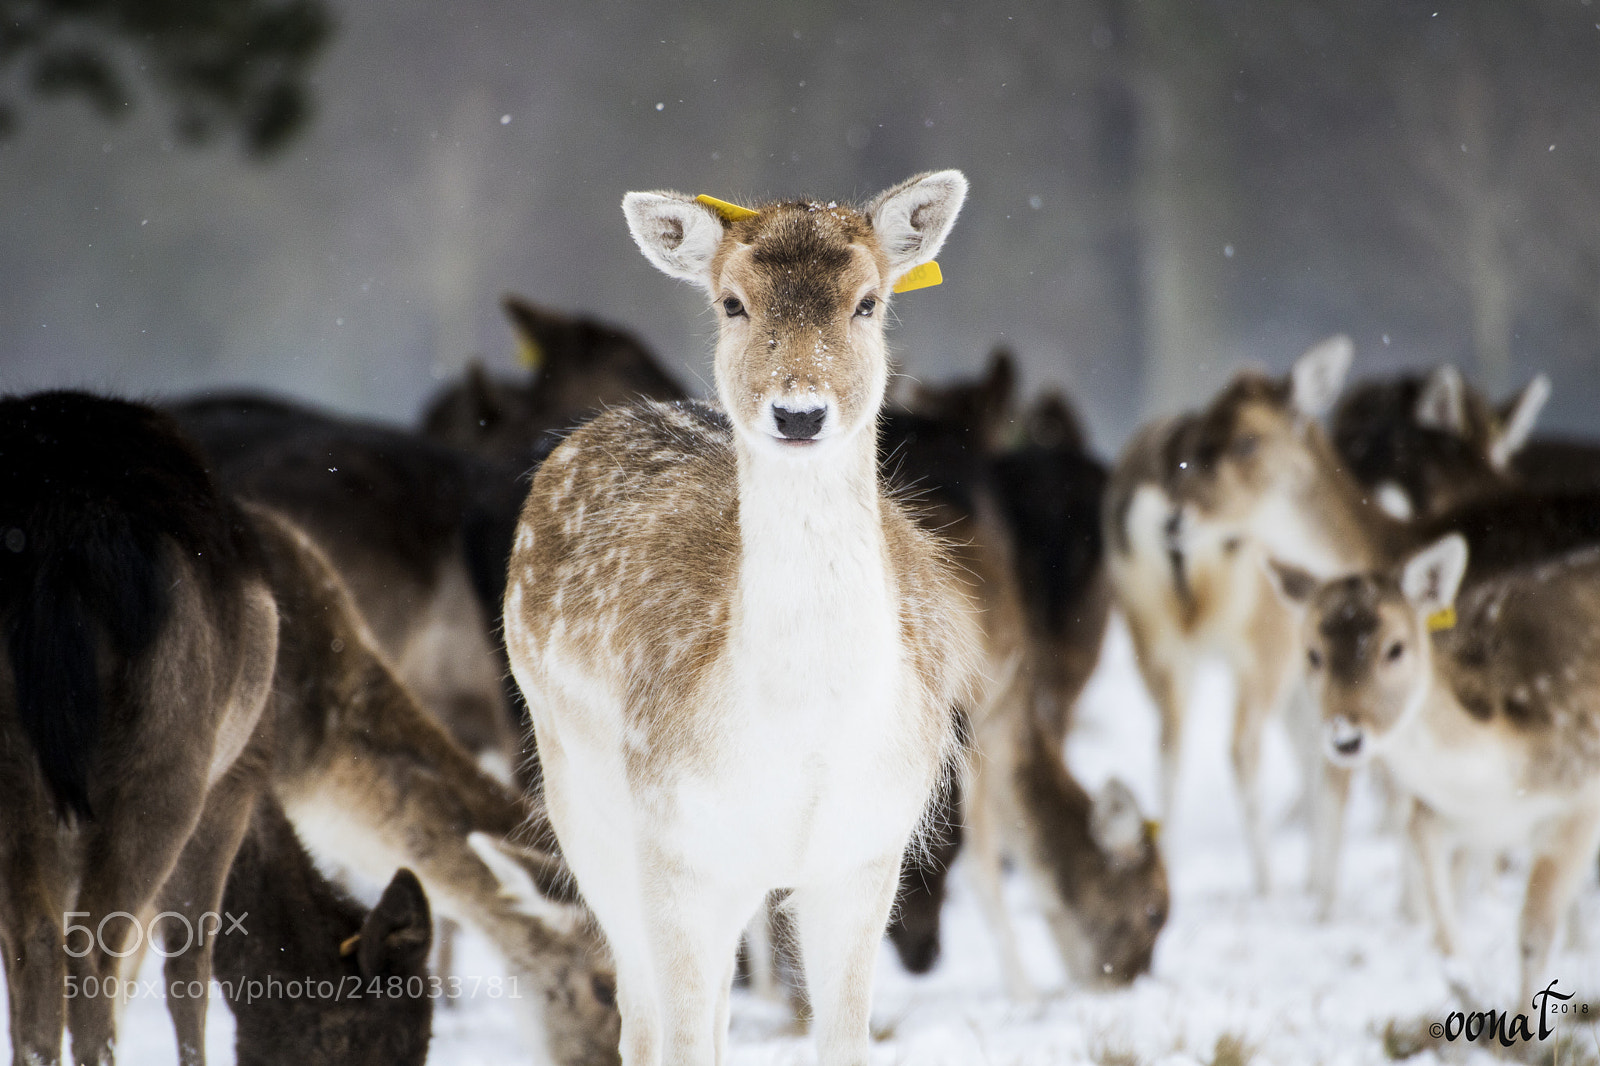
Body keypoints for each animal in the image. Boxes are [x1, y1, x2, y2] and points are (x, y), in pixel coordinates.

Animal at [0, 391, 280, 1066]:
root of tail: (63, 533)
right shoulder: (232, 786)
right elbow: (191, 960)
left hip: (12, 765)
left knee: (36, 944)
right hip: (170, 763)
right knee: (98, 952)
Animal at [502, 172, 982, 1066]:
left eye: (868, 302)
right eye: (732, 303)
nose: (799, 413)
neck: (801, 730)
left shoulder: (867, 848)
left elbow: (844, 1040)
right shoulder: (676, 839)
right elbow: (679, 1041)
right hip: (581, 800)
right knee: (641, 1019)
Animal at [1264, 535, 1600, 1007]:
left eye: (1396, 647)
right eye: (1312, 654)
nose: (1346, 737)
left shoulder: (1580, 801)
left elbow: (1533, 937)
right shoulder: (1433, 814)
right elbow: (1440, 931)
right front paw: (1471, 989)